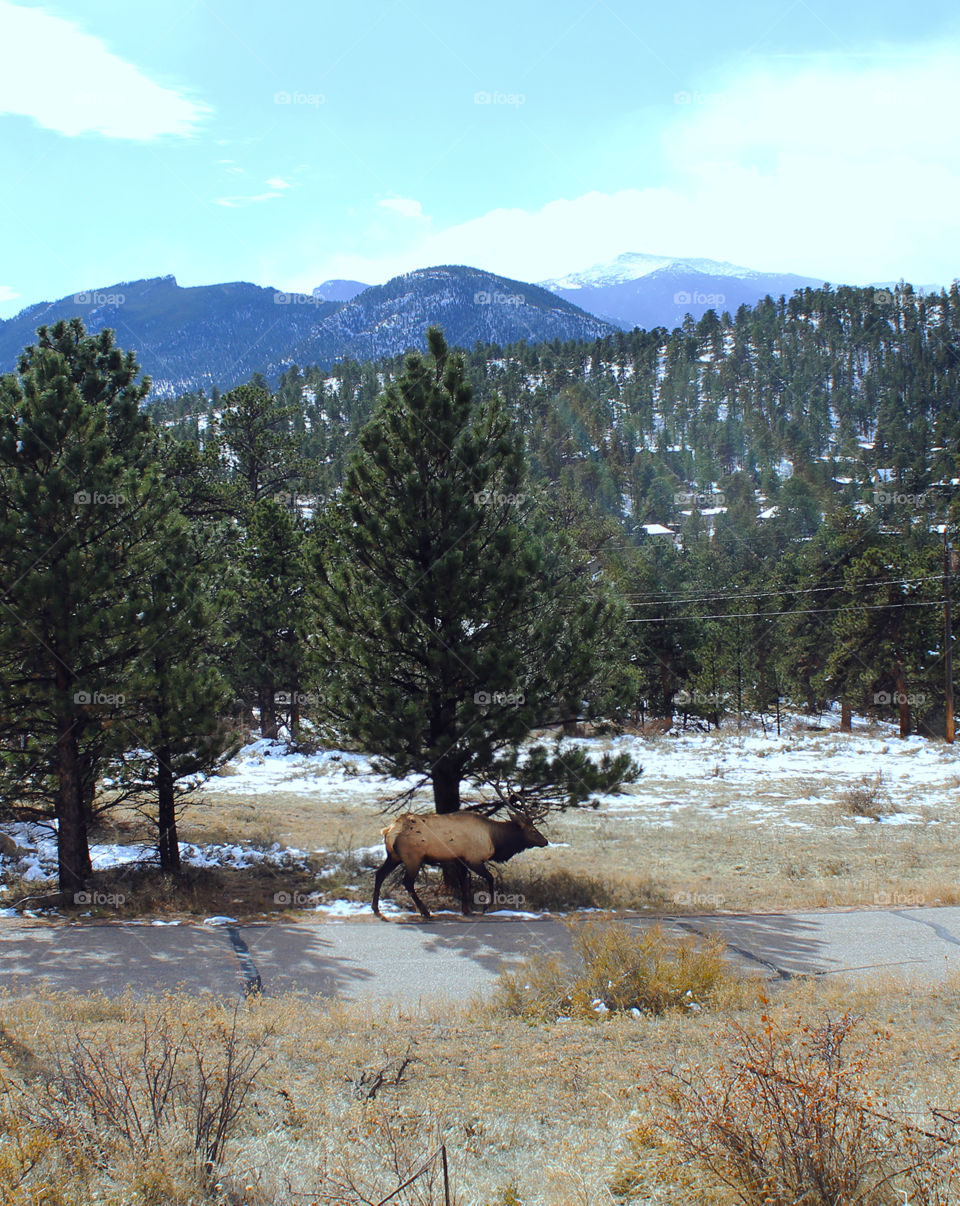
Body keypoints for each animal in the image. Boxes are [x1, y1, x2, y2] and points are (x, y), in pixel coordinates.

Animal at [371, 808, 549, 920]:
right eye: (532, 830)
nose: (545, 841)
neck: (495, 840)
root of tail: (389, 830)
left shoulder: (459, 860)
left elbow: (463, 882)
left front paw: (466, 909)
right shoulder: (473, 859)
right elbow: (490, 878)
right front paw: (485, 907)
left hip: (394, 856)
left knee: (379, 874)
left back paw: (375, 908)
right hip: (413, 858)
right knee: (407, 882)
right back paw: (425, 912)